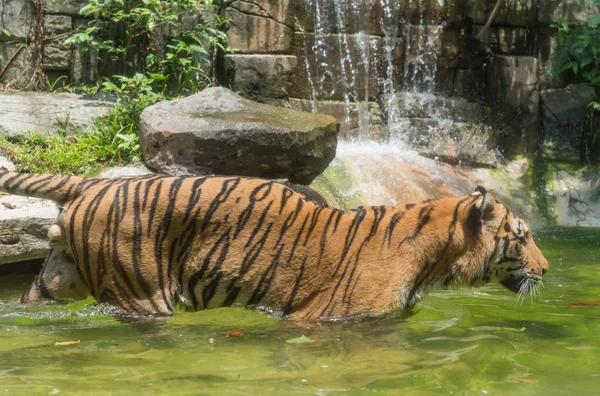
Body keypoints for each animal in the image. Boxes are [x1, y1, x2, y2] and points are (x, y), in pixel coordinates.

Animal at [1, 172, 548, 320]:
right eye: (521, 236)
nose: (546, 270)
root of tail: (91, 182)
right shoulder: (332, 319)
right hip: (142, 293)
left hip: (57, 279)